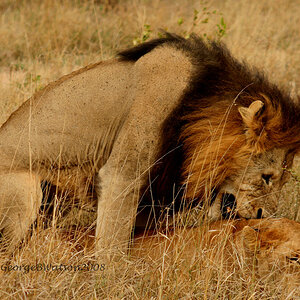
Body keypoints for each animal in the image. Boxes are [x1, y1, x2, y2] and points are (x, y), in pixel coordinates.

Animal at [0, 34, 300, 256]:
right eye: (267, 177)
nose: (262, 215)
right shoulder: (123, 175)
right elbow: (113, 243)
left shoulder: (155, 194)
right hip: (25, 193)